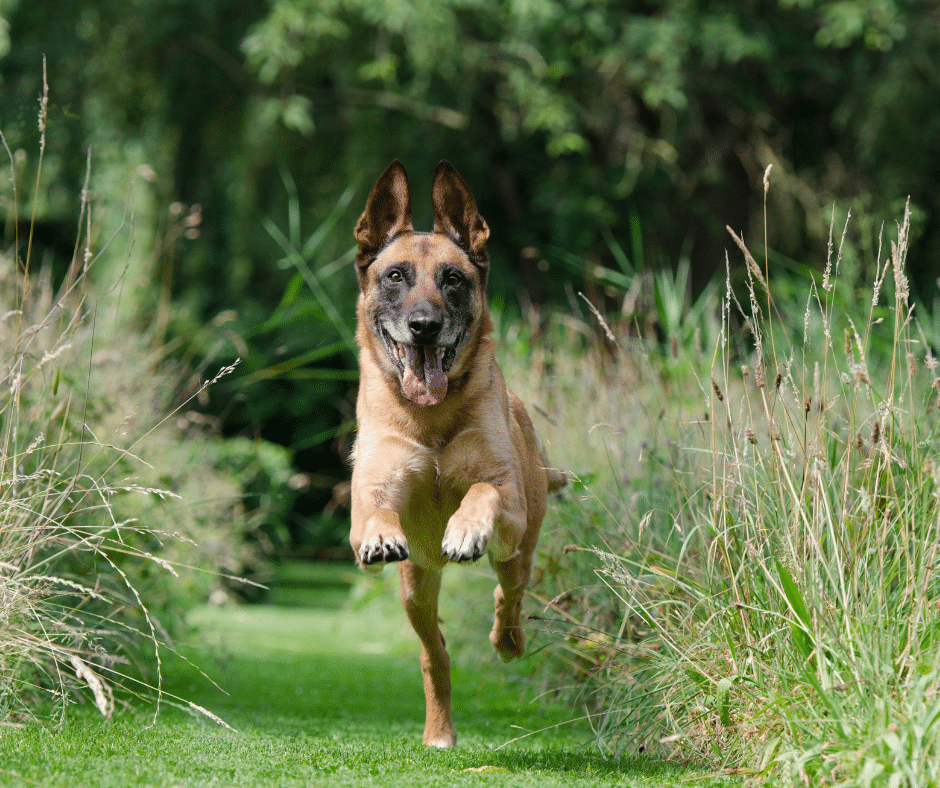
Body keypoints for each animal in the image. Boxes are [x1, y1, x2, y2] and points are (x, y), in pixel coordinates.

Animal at [346, 159, 560, 744]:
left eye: (453, 279)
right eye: (395, 276)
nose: (424, 326)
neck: (431, 418)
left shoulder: (506, 496)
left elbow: (482, 490)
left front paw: (464, 529)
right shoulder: (373, 488)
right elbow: (373, 511)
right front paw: (379, 535)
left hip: (517, 549)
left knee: (509, 596)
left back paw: (508, 641)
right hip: (415, 587)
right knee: (434, 654)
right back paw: (438, 728)